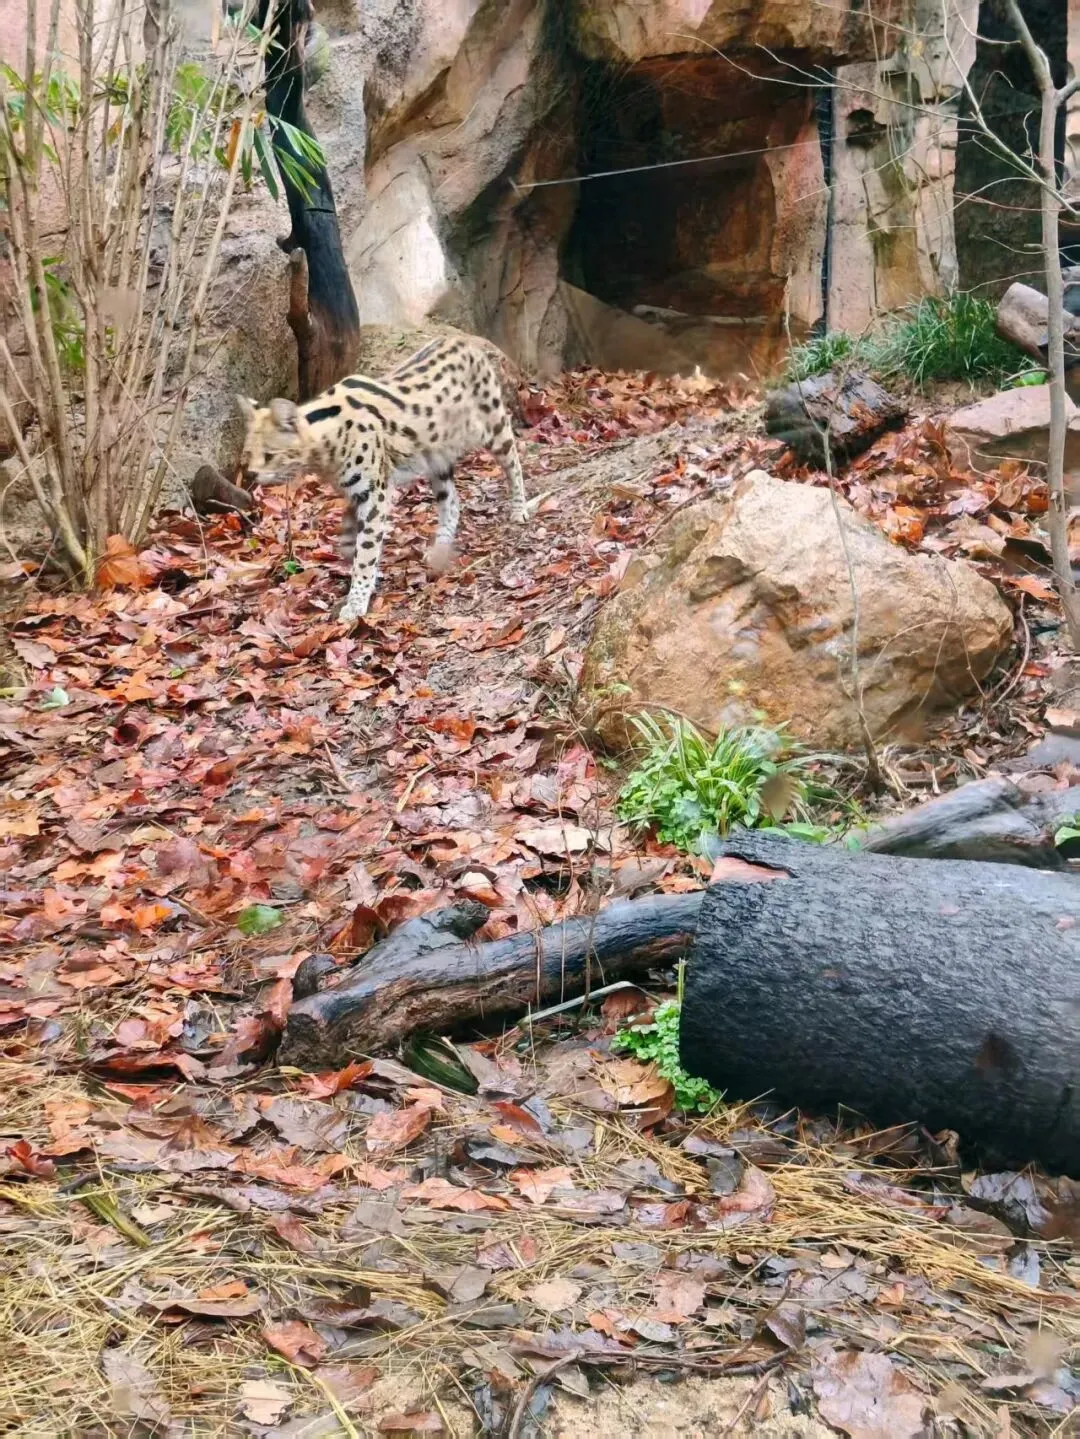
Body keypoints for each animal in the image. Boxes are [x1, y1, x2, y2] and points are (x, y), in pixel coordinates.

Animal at [237, 335, 533, 622]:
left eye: (270, 455)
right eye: (249, 453)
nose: (251, 474)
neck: (326, 444)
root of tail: (462, 340)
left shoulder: (374, 492)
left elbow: (366, 550)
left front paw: (356, 602)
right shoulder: (357, 491)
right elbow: (353, 540)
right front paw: (356, 564)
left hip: (492, 426)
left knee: (514, 461)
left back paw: (519, 509)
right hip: (436, 456)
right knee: (452, 503)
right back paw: (441, 547)